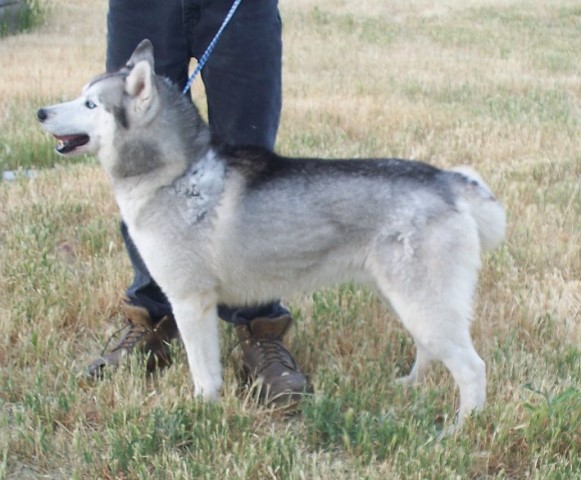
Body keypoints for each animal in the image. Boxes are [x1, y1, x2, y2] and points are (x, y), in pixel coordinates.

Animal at [38, 38, 506, 428]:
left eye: (91, 104)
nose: (41, 112)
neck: (175, 175)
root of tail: (447, 179)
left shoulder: (190, 301)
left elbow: (203, 371)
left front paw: (200, 410)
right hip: (409, 300)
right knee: (429, 350)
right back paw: (410, 387)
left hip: (423, 302)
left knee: (472, 368)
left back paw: (460, 430)